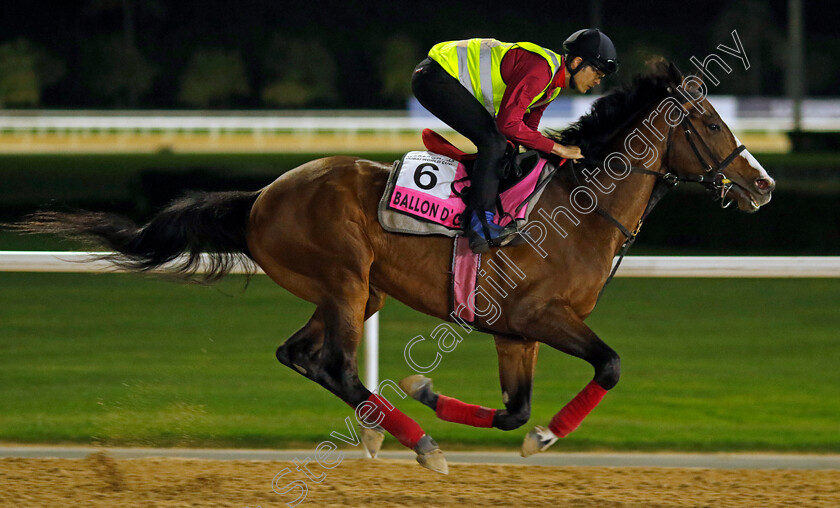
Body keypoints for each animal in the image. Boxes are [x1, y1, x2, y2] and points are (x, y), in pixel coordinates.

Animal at [13, 61, 776, 474]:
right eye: (712, 124)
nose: (763, 185)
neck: (581, 207)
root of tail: (262, 196)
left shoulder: (514, 331)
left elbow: (512, 410)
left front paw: (430, 390)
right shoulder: (539, 315)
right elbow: (608, 367)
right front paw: (541, 438)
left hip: (357, 292)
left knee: (299, 354)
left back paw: (386, 424)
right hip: (346, 279)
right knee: (332, 362)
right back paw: (418, 443)